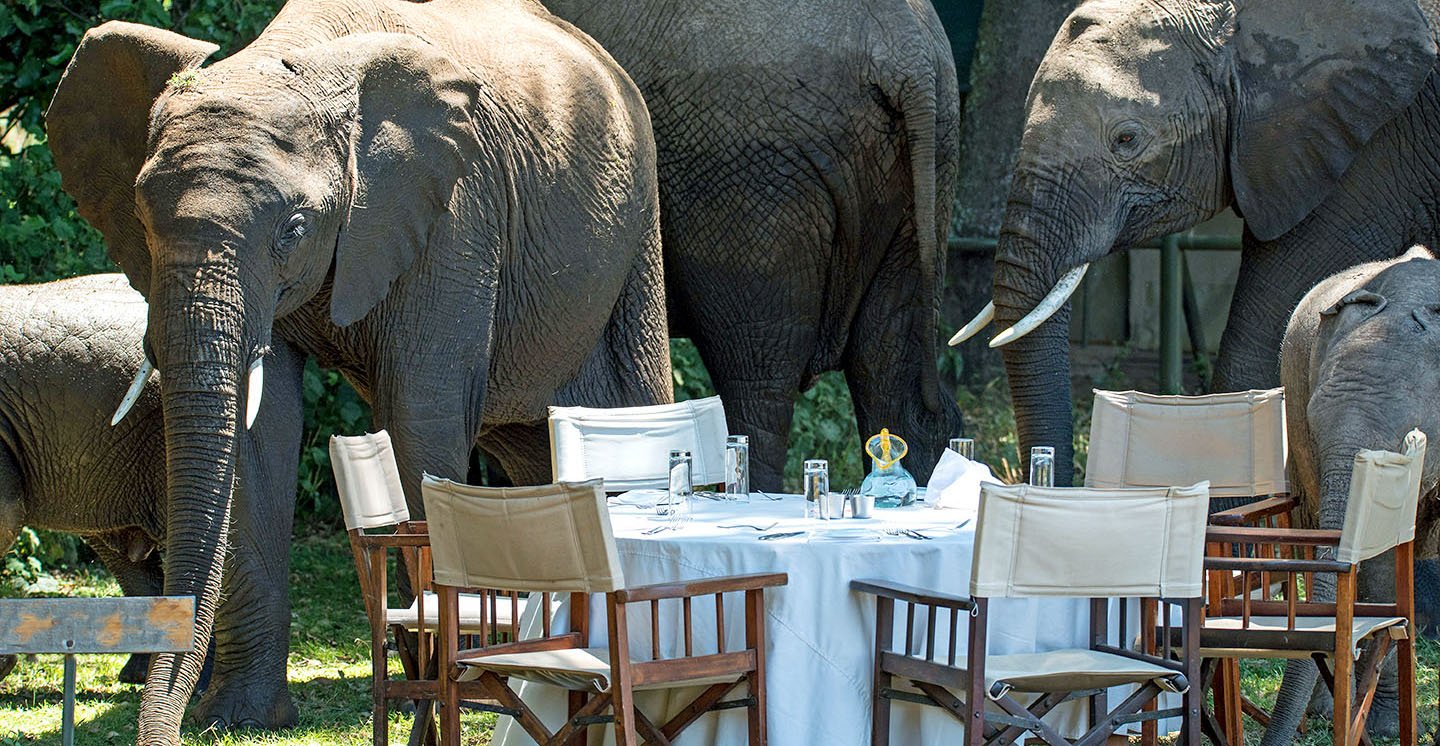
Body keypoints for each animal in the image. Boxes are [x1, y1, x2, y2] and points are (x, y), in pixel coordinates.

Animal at [46, 0, 670, 739]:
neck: (290, 59)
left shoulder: (455, 214)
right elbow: (262, 432)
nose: (169, 724)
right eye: (141, 219)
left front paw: (446, 681)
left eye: (292, 228)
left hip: (636, 234)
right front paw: (240, 719)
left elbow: (418, 414)